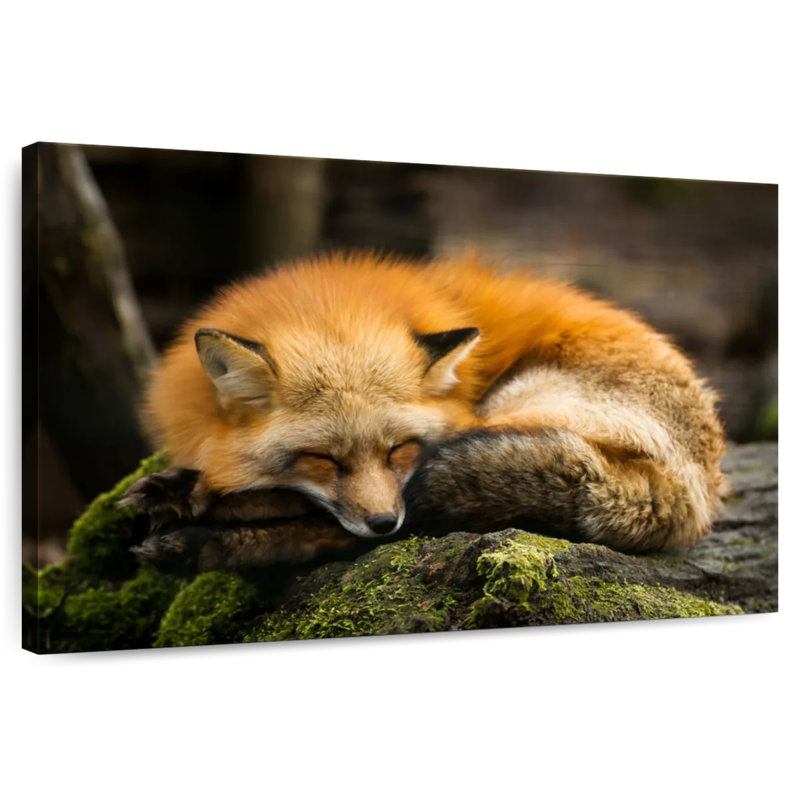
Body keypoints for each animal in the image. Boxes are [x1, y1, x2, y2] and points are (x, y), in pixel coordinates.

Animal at [124, 251, 727, 573]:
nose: (383, 521)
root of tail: (699, 489)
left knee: (357, 531)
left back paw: (203, 534)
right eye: (322, 459)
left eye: (399, 449)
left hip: (513, 412)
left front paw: (201, 500)